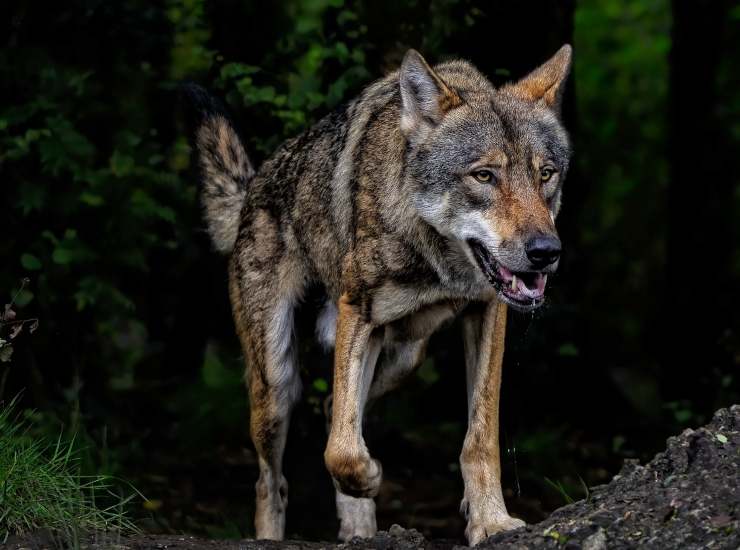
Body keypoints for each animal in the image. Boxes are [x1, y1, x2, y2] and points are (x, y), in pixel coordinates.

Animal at [186, 44, 571, 545]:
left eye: (546, 174)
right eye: (484, 176)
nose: (545, 252)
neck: (437, 260)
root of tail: (254, 187)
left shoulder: (488, 312)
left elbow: (480, 437)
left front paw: (490, 520)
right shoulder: (359, 313)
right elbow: (342, 452)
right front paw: (370, 477)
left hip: (405, 357)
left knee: (335, 408)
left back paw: (359, 527)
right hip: (276, 383)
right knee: (273, 478)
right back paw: (277, 533)